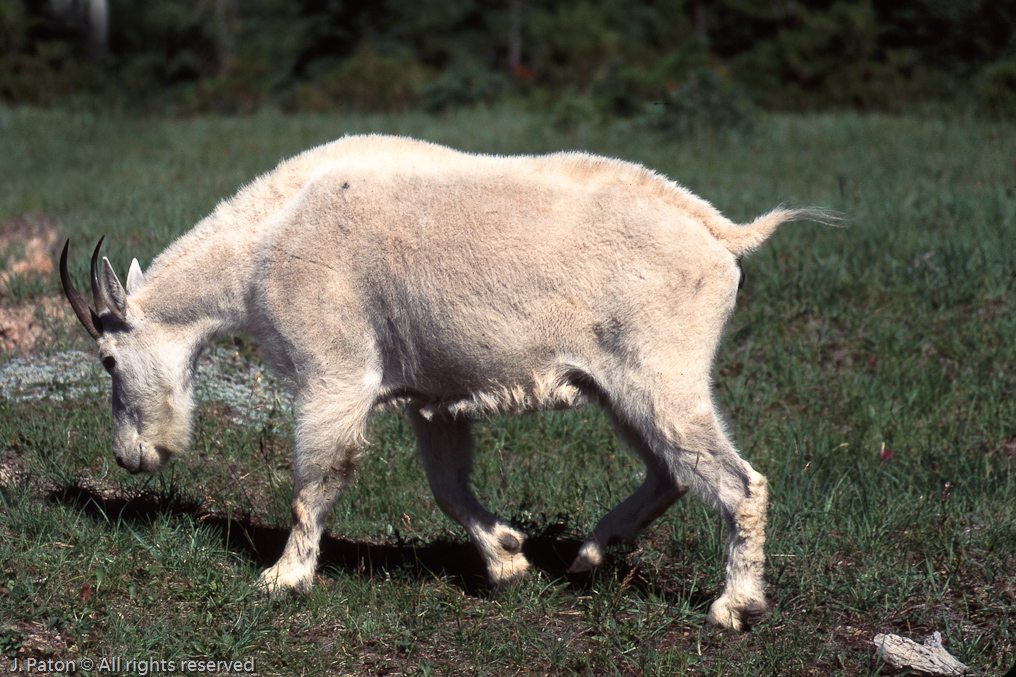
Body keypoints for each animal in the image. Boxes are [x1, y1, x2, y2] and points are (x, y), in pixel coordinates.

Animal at [61, 134, 824, 631]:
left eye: (107, 359)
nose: (130, 457)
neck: (265, 244)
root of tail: (722, 236)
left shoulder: (333, 373)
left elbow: (315, 481)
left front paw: (283, 578)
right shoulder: (434, 399)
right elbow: (448, 488)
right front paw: (509, 560)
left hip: (661, 377)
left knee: (738, 482)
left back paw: (734, 606)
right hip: (622, 389)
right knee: (669, 473)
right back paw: (586, 555)